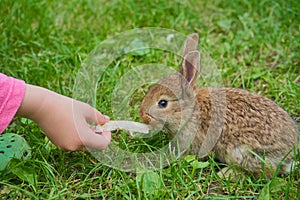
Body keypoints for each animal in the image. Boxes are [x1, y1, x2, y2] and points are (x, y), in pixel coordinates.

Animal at [139, 33, 298, 177]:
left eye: (163, 103)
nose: (142, 115)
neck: (191, 109)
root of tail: (288, 156)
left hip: (241, 152)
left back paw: (226, 174)